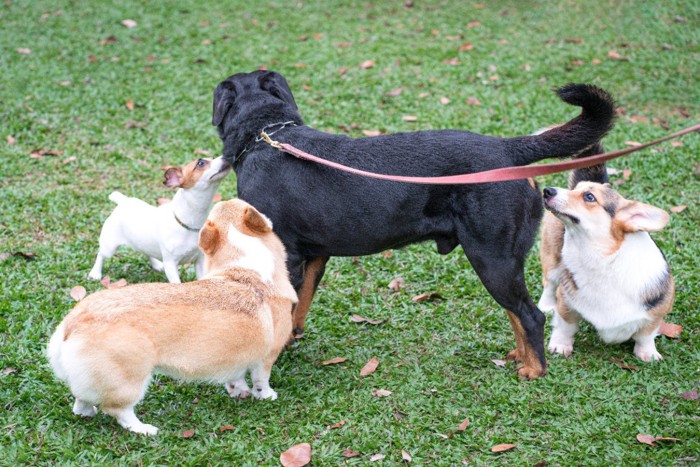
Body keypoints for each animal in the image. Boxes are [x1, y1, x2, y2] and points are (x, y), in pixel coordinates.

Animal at [48, 198, 296, 436]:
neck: (245, 263)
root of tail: (72, 323)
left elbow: (236, 377)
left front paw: (238, 391)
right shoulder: (267, 356)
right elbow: (261, 380)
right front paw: (266, 395)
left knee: (81, 400)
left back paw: (87, 412)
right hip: (131, 380)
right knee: (118, 411)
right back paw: (144, 429)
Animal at [89, 155, 231, 284]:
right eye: (200, 163)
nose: (227, 156)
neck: (190, 223)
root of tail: (123, 201)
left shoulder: (200, 261)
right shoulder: (171, 264)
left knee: (146, 251)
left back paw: (157, 264)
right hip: (109, 246)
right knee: (101, 255)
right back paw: (95, 273)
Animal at [213, 70, 612, 380]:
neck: (266, 134)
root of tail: (510, 150)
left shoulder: (285, 255)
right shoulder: (313, 257)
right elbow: (299, 306)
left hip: (492, 258)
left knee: (530, 315)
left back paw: (534, 369)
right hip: (502, 261)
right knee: (517, 313)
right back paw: (520, 355)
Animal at [540, 182, 676, 362]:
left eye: (589, 196)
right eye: (576, 189)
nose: (547, 191)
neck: (604, 260)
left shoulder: (657, 313)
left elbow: (645, 336)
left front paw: (648, 354)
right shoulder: (566, 302)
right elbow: (565, 327)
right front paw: (560, 346)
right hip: (552, 261)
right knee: (549, 284)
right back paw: (546, 305)